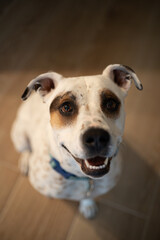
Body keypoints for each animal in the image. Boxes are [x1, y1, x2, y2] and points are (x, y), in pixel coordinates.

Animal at [11, 64, 143, 218]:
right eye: (66, 107)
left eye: (110, 103)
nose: (96, 137)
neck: (81, 177)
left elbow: (88, 196)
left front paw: (87, 205)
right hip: (19, 135)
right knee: (25, 149)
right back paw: (25, 161)